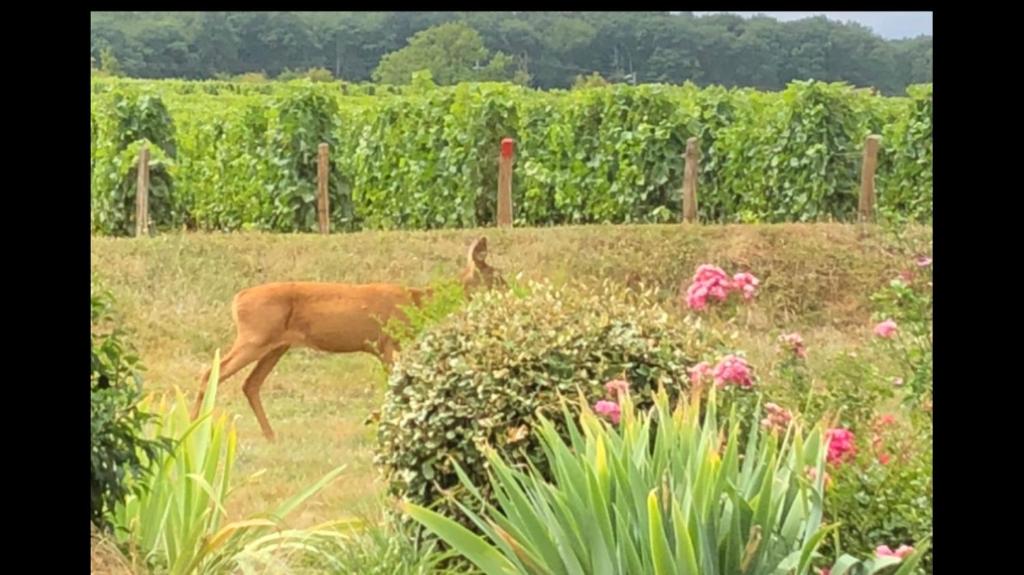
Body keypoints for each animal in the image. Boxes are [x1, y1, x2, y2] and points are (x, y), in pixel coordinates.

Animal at [191, 234, 503, 437]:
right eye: (498, 277)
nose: (509, 289)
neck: (418, 302)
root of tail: (237, 299)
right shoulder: (389, 342)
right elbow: (393, 384)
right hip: (254, 337)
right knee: (210, 373)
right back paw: (193, 427)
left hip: (276, 345)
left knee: (250, 384)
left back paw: (270, 435)